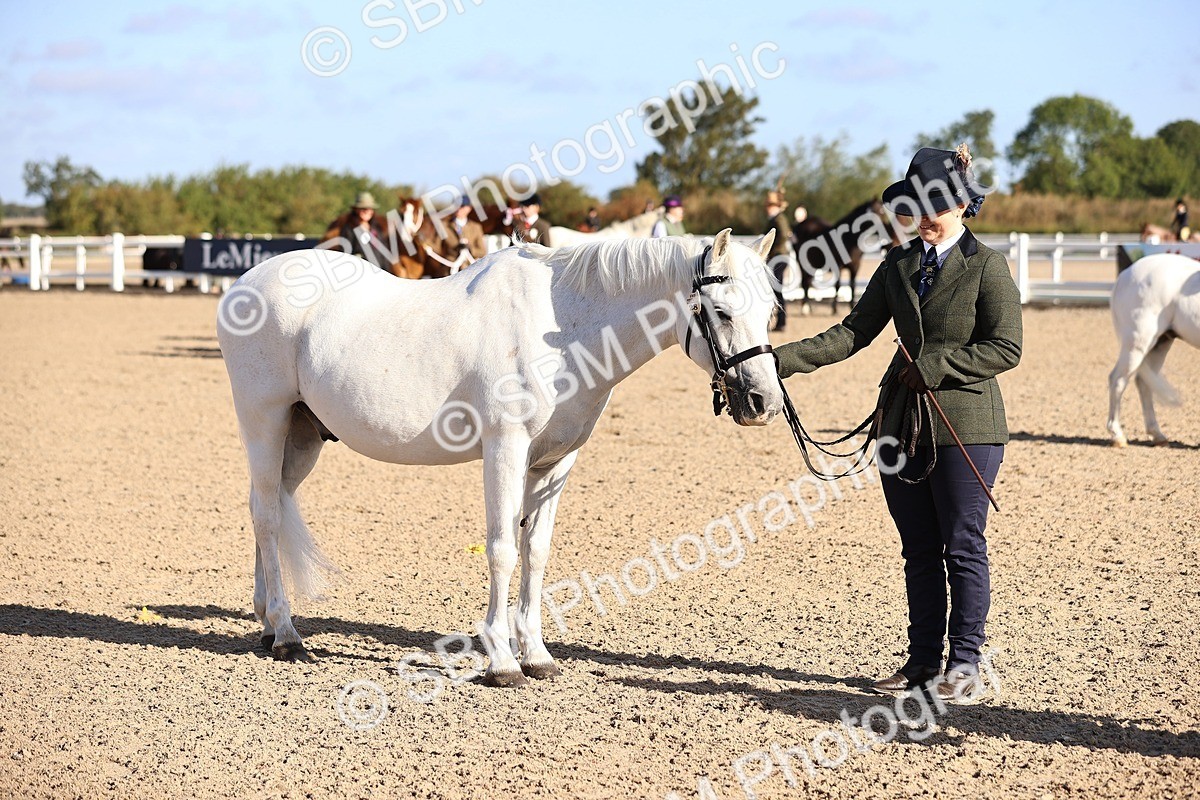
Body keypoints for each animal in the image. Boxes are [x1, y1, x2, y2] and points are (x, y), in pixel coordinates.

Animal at [216, 229, 784, 686]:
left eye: (771, 311)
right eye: (722, 311)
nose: (764, 402)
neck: (562, 327)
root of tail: (245, 284)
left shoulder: (555, 462)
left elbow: (537, 551)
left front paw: (536, 654)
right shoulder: (505, 449)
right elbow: (503, 549)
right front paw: (502, 661)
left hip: (302, 437)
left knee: (268, 507)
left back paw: (267, 623)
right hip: (263, 422)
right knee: (267, 516)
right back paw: (288, 636)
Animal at [1106, 252, 1200, 447]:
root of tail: (1125, 274)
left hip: (1160, 344)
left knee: (1143, 383)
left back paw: (1157, 435)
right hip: (1138, 343)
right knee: (1118, 380)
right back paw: (1118, 436)